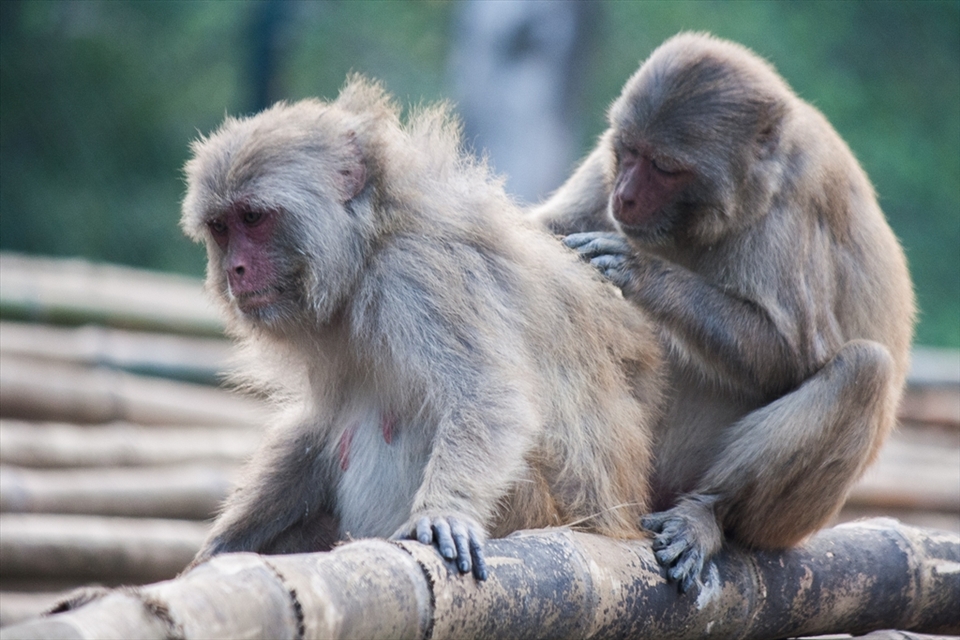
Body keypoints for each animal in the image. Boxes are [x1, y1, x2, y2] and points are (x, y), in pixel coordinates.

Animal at [180, 76, 664, 580]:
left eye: (253, 218)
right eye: (220, 227)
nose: (235, 269)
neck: (372, 239)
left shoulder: (419, 274)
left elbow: (489, 396)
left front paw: (444, 511)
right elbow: (317, 426)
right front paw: (225, 542)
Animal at [531, 32, 915, 592]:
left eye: (665, 168)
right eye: (629, 152)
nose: (624, 197)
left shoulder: (794, 201)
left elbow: (793, 354)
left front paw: (640, 271)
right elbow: (542, 229)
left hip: (782, 525)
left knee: (864, 369)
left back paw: (710, 513)